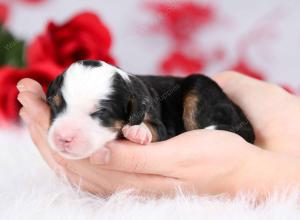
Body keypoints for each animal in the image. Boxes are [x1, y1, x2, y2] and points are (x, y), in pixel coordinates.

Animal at [45, 60, 254, 160]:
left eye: (101, 113)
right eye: (55, 104)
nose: (63, 138)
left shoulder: (160, 124)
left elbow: (154, 128)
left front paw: (138, 130)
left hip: (200, 85)